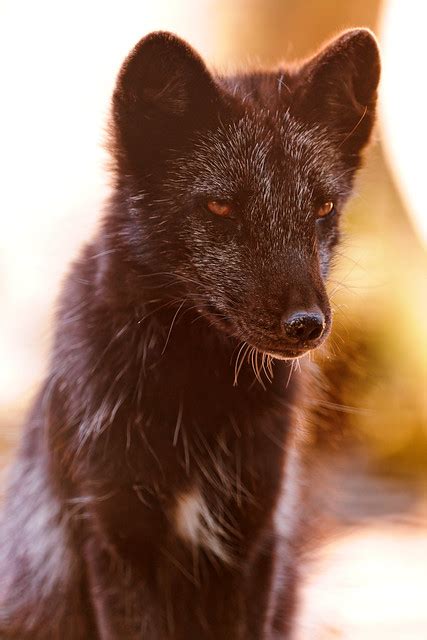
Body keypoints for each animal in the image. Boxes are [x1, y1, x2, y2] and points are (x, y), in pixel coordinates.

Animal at [0, 28, 382, 636]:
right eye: (220, 206)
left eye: (322, 206)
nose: (307, 325)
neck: (197, 397)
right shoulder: (117, 538)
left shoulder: (252, 539)